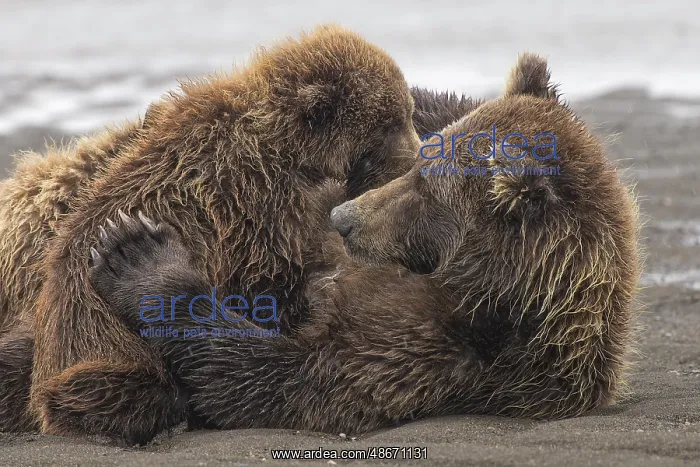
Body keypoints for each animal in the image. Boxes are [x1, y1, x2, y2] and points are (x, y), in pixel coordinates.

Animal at [88, 53, 642, 436]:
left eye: (427, 191)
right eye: (419, 165)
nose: (342, 220)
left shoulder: (432, 351)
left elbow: (276, 376)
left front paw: (136, 252)